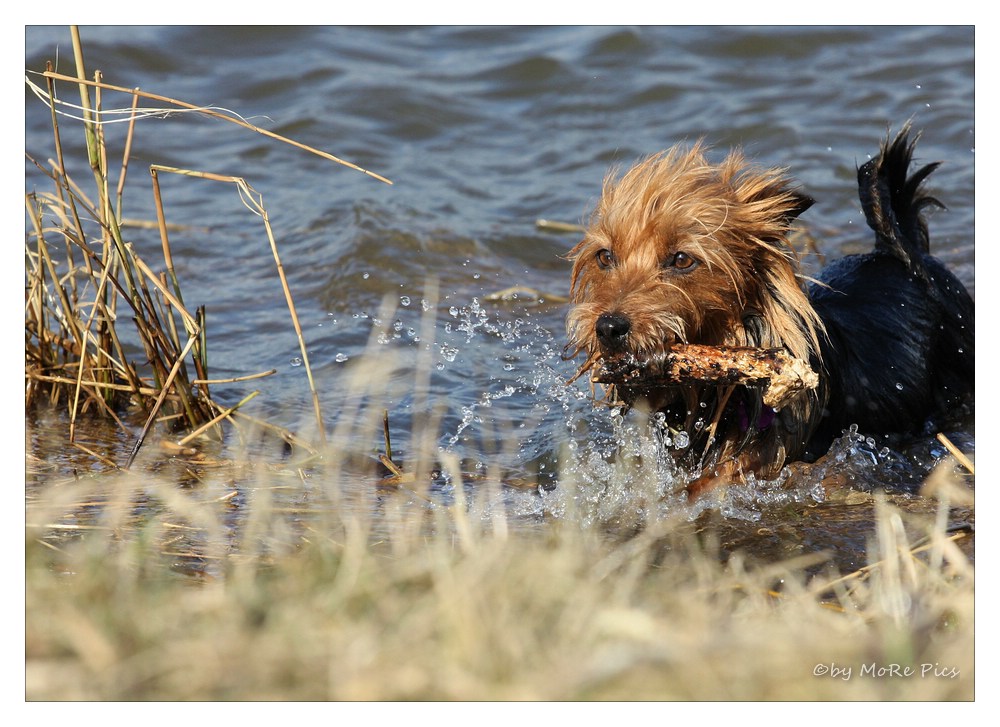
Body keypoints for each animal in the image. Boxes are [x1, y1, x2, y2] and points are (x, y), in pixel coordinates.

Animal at [568, 126, 972, 494]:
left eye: (682, 259)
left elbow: (713, 480)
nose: (608, 327)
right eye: (604, 257)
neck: (714, 394)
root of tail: (903, 254)